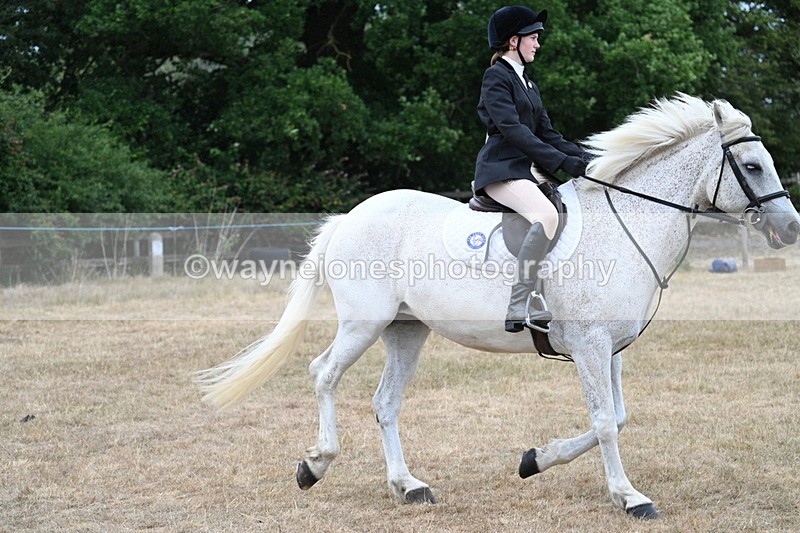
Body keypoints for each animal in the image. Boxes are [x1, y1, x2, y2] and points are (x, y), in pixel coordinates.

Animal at [195, 94, 800, 519]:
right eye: (751, 165)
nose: (791, 228)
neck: (626, 225)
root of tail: (351, 216)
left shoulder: (612, 348)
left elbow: (619, 417)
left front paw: (536, 460)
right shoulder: (589, 346)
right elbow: (606, 421)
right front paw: (629, 497)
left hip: (406, 330)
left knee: (386, 403)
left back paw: (408, 487)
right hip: (364, 322)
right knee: (324, 373)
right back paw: (315, 465)